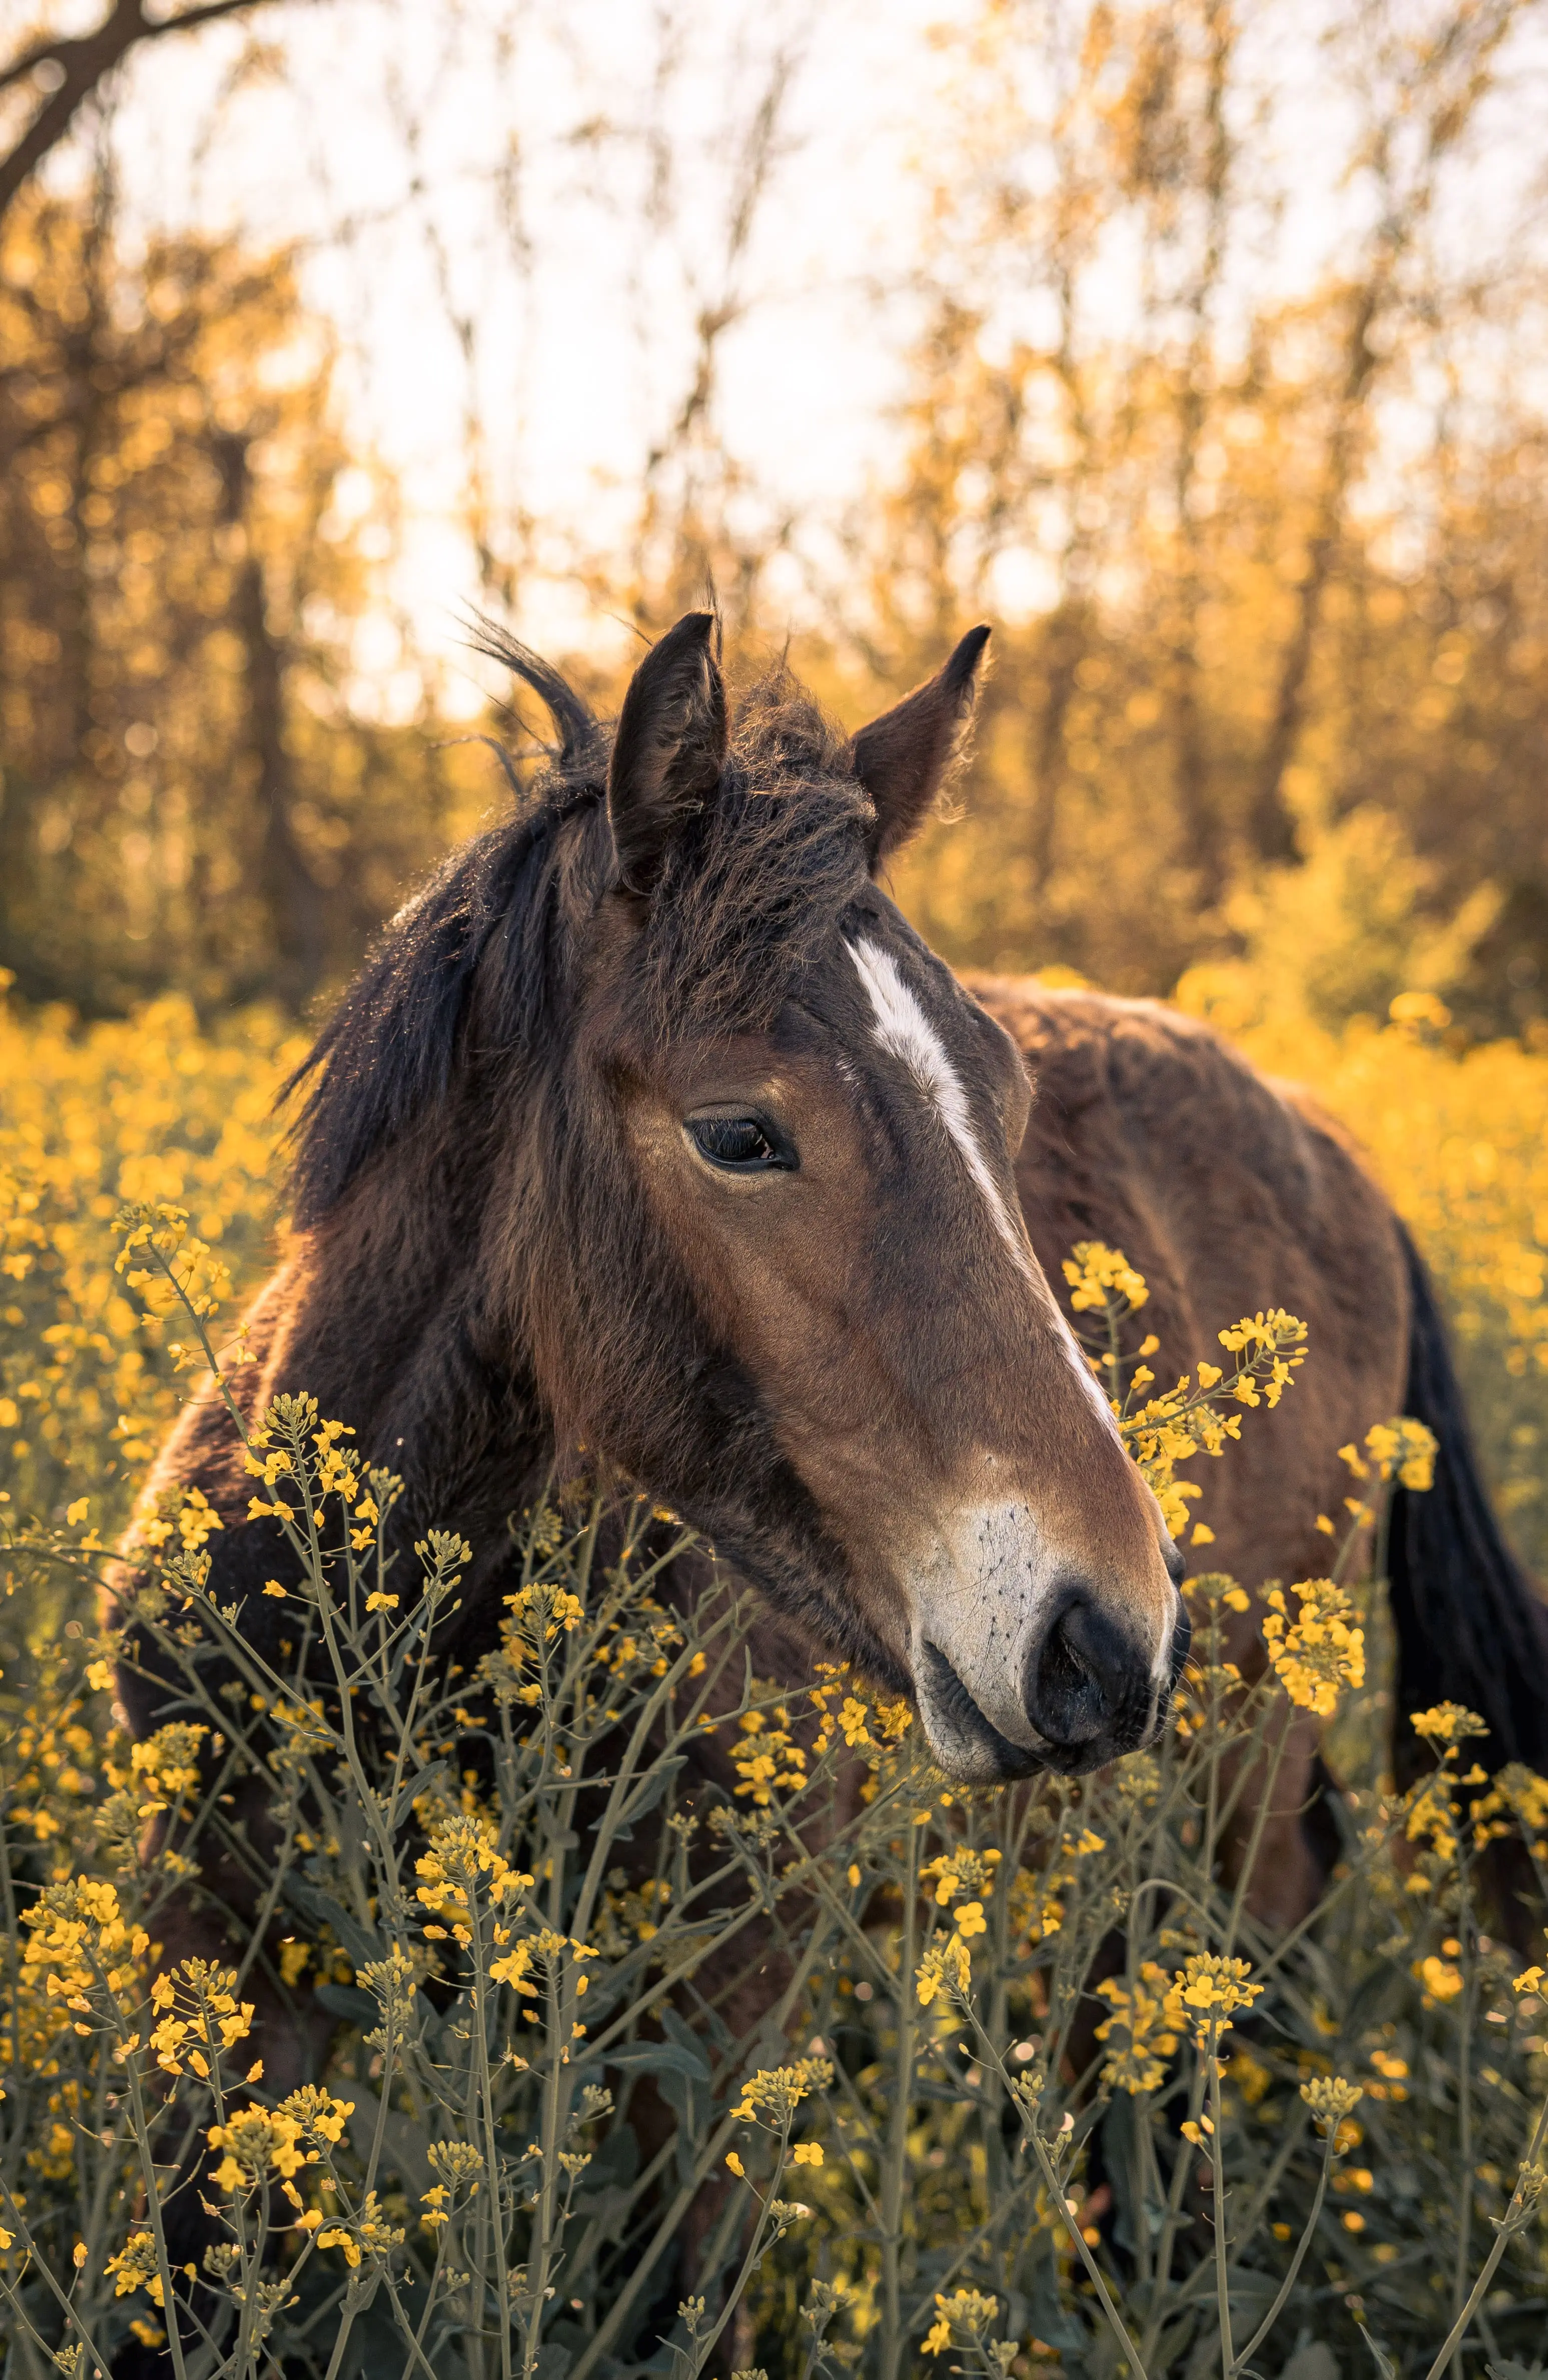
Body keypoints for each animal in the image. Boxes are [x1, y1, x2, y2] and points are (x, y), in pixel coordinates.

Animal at [114, 609, 1548, 2338]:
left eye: (1004, 1105)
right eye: (738, 1132)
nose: (1101, 1633)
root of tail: (1334, 1152)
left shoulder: (717, 2018)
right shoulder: (216, 1968)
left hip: (1232, 1786)